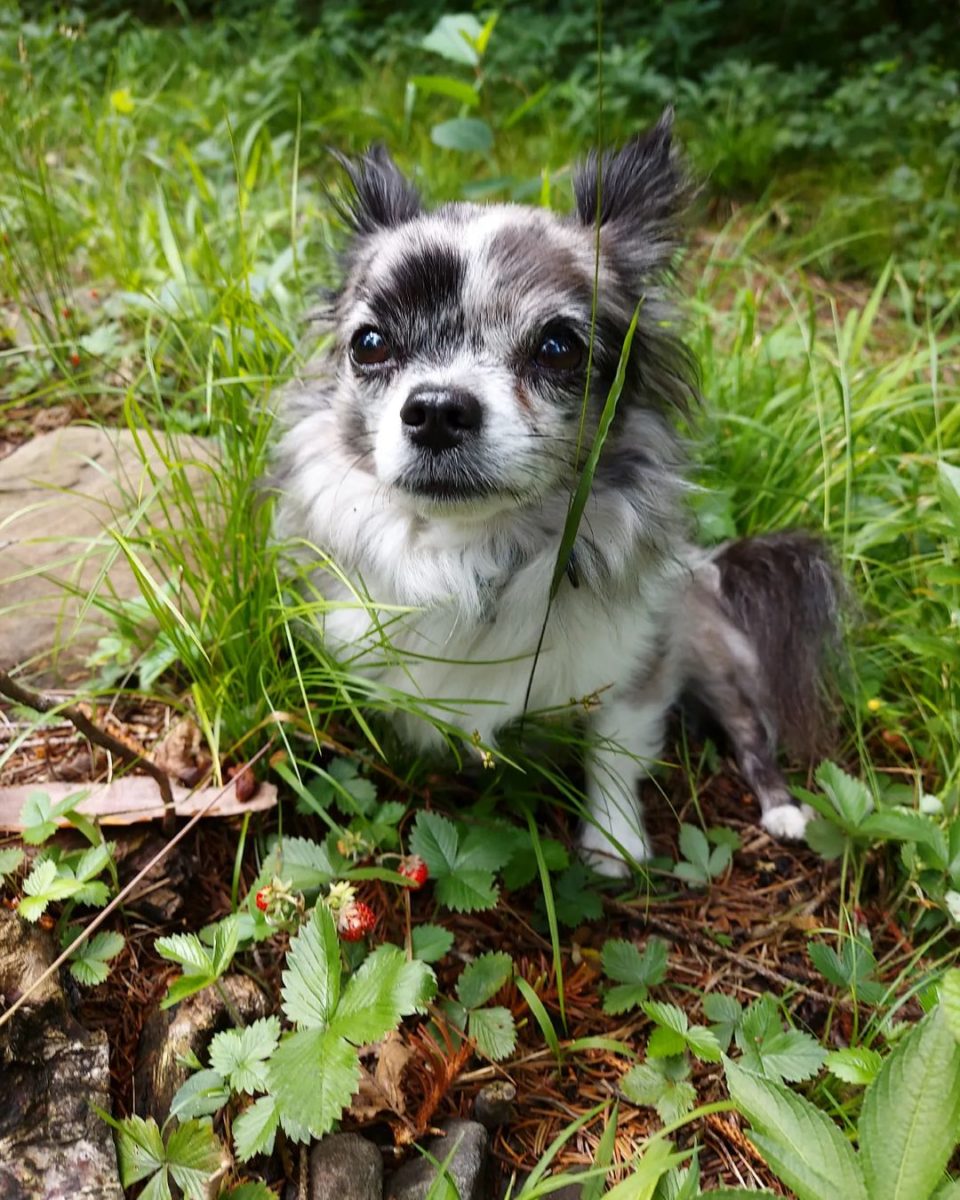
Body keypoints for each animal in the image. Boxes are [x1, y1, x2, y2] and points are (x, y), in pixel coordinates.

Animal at [270, 112, 840, 878]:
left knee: (751, 732)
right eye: (369, 343)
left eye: (558, 347)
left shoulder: (636, 663)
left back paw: (781, 810)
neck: (476, 551)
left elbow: (614, 749)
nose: (438, 409)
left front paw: (613, 842)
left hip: (714, 652)